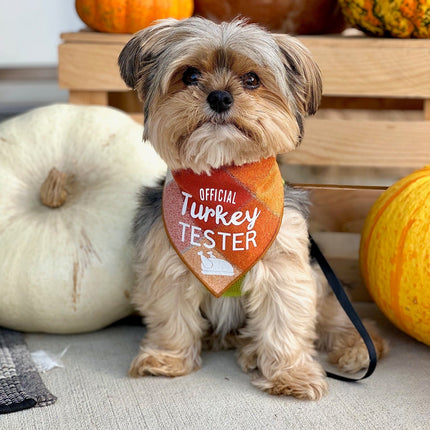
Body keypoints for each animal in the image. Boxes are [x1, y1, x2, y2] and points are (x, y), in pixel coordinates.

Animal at [117, 16, 386, 400]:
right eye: (190, 75)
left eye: (252, 80)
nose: (219, 96)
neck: (224, 180)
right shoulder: (168, 263)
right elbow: (171, 317)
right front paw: (167, 358)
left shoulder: (284, 269)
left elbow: (285, 325)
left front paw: (291, 375)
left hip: (323, 282)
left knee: (342, 321)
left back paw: (356, 349)